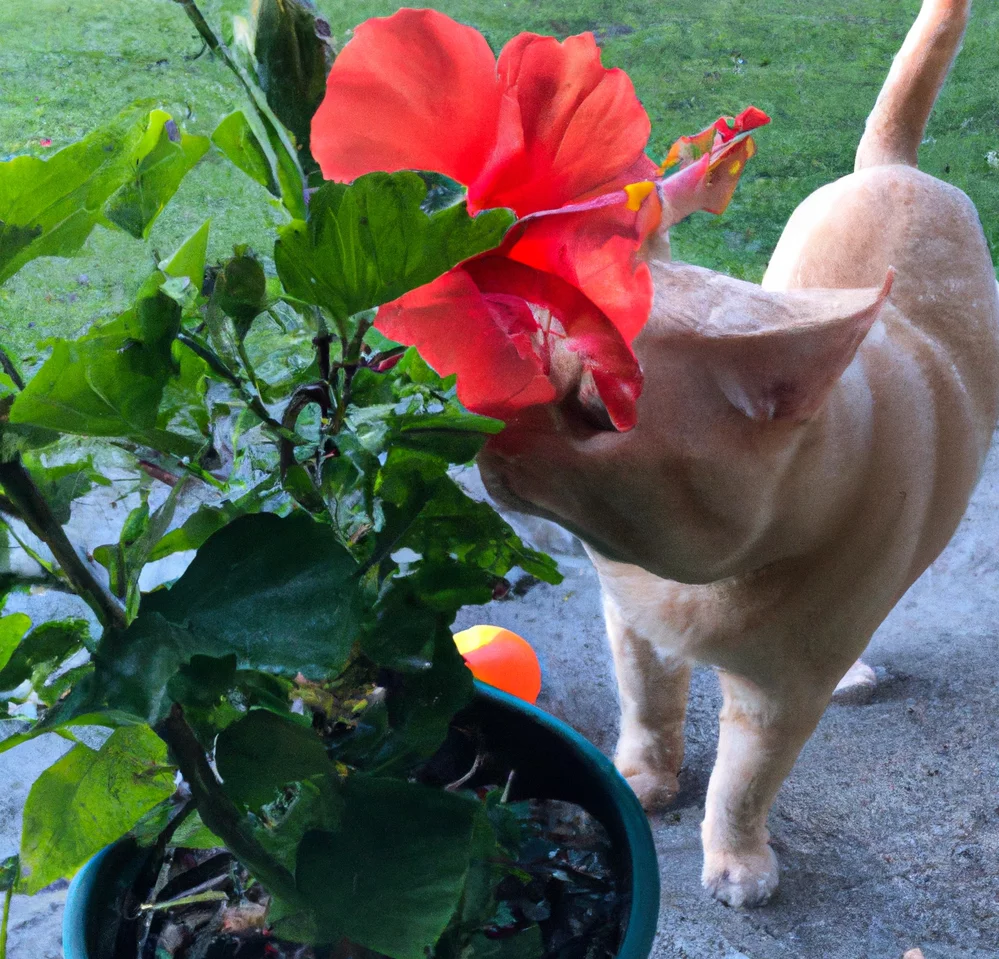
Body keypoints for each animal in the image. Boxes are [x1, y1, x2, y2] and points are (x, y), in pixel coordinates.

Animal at [478, 0, 999, 908]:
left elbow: (740, 783)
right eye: (536, 348)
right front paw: (643, 778)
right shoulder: (633, 629)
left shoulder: (781, 696)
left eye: (593, 409)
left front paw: (735, 858)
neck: (694, 572)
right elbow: (649, 714)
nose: (488, 421)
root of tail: (897, 166)